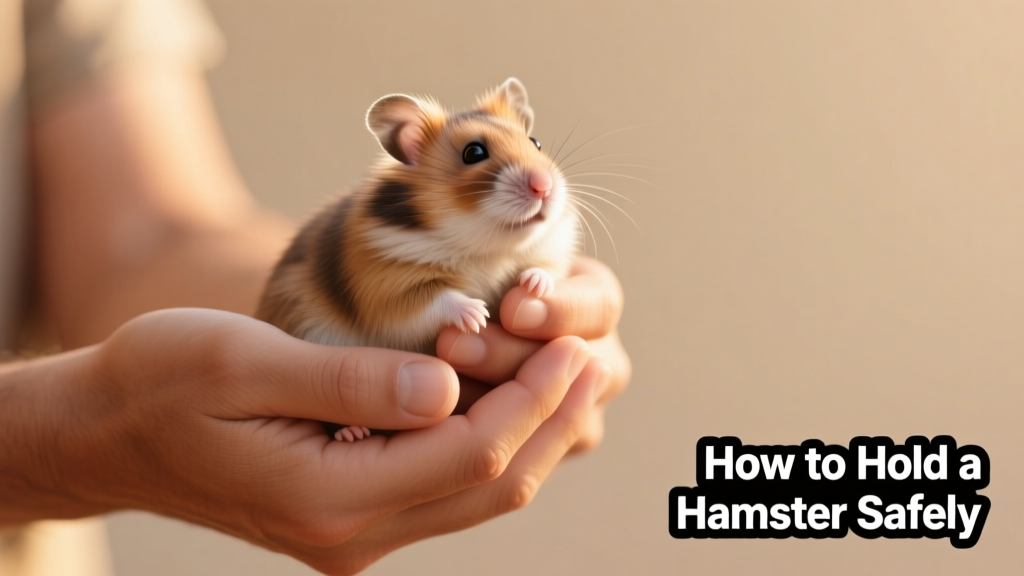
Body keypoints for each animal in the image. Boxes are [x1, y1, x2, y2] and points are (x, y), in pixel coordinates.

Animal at [256, 78, 579, 439]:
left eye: (536, 143)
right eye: (474, 153)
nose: (544, 187)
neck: (486, 249)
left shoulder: (550, 249)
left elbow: (545, 268)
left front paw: (533, 288)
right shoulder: (386, 288)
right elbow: (433, 299)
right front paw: (477, 317)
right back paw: (352, 432)